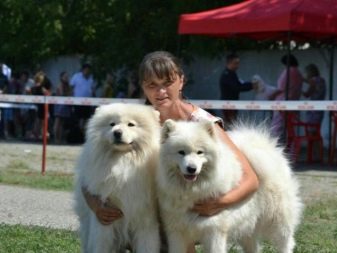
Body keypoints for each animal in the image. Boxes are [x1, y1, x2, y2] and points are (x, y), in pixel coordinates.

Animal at [74, 103, 161, 253]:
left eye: (131, 124)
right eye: (112, 124)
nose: (117, 132)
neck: (123, 160)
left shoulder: (145, 219)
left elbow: (147, 245)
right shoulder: (105, 217)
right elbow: (101, 244)